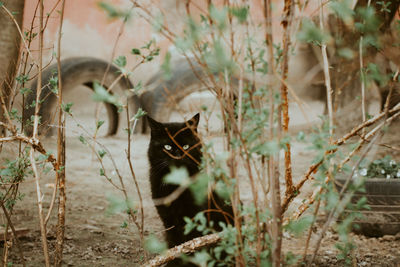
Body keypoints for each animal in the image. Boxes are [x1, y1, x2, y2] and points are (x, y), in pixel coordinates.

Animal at [147, 114, 234, 266]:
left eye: (186, 146)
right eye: (167, 146)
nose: (178, 155)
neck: (176, 184)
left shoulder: (196, 216)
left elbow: (192, 242)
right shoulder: (168, 219)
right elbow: (175, 244)